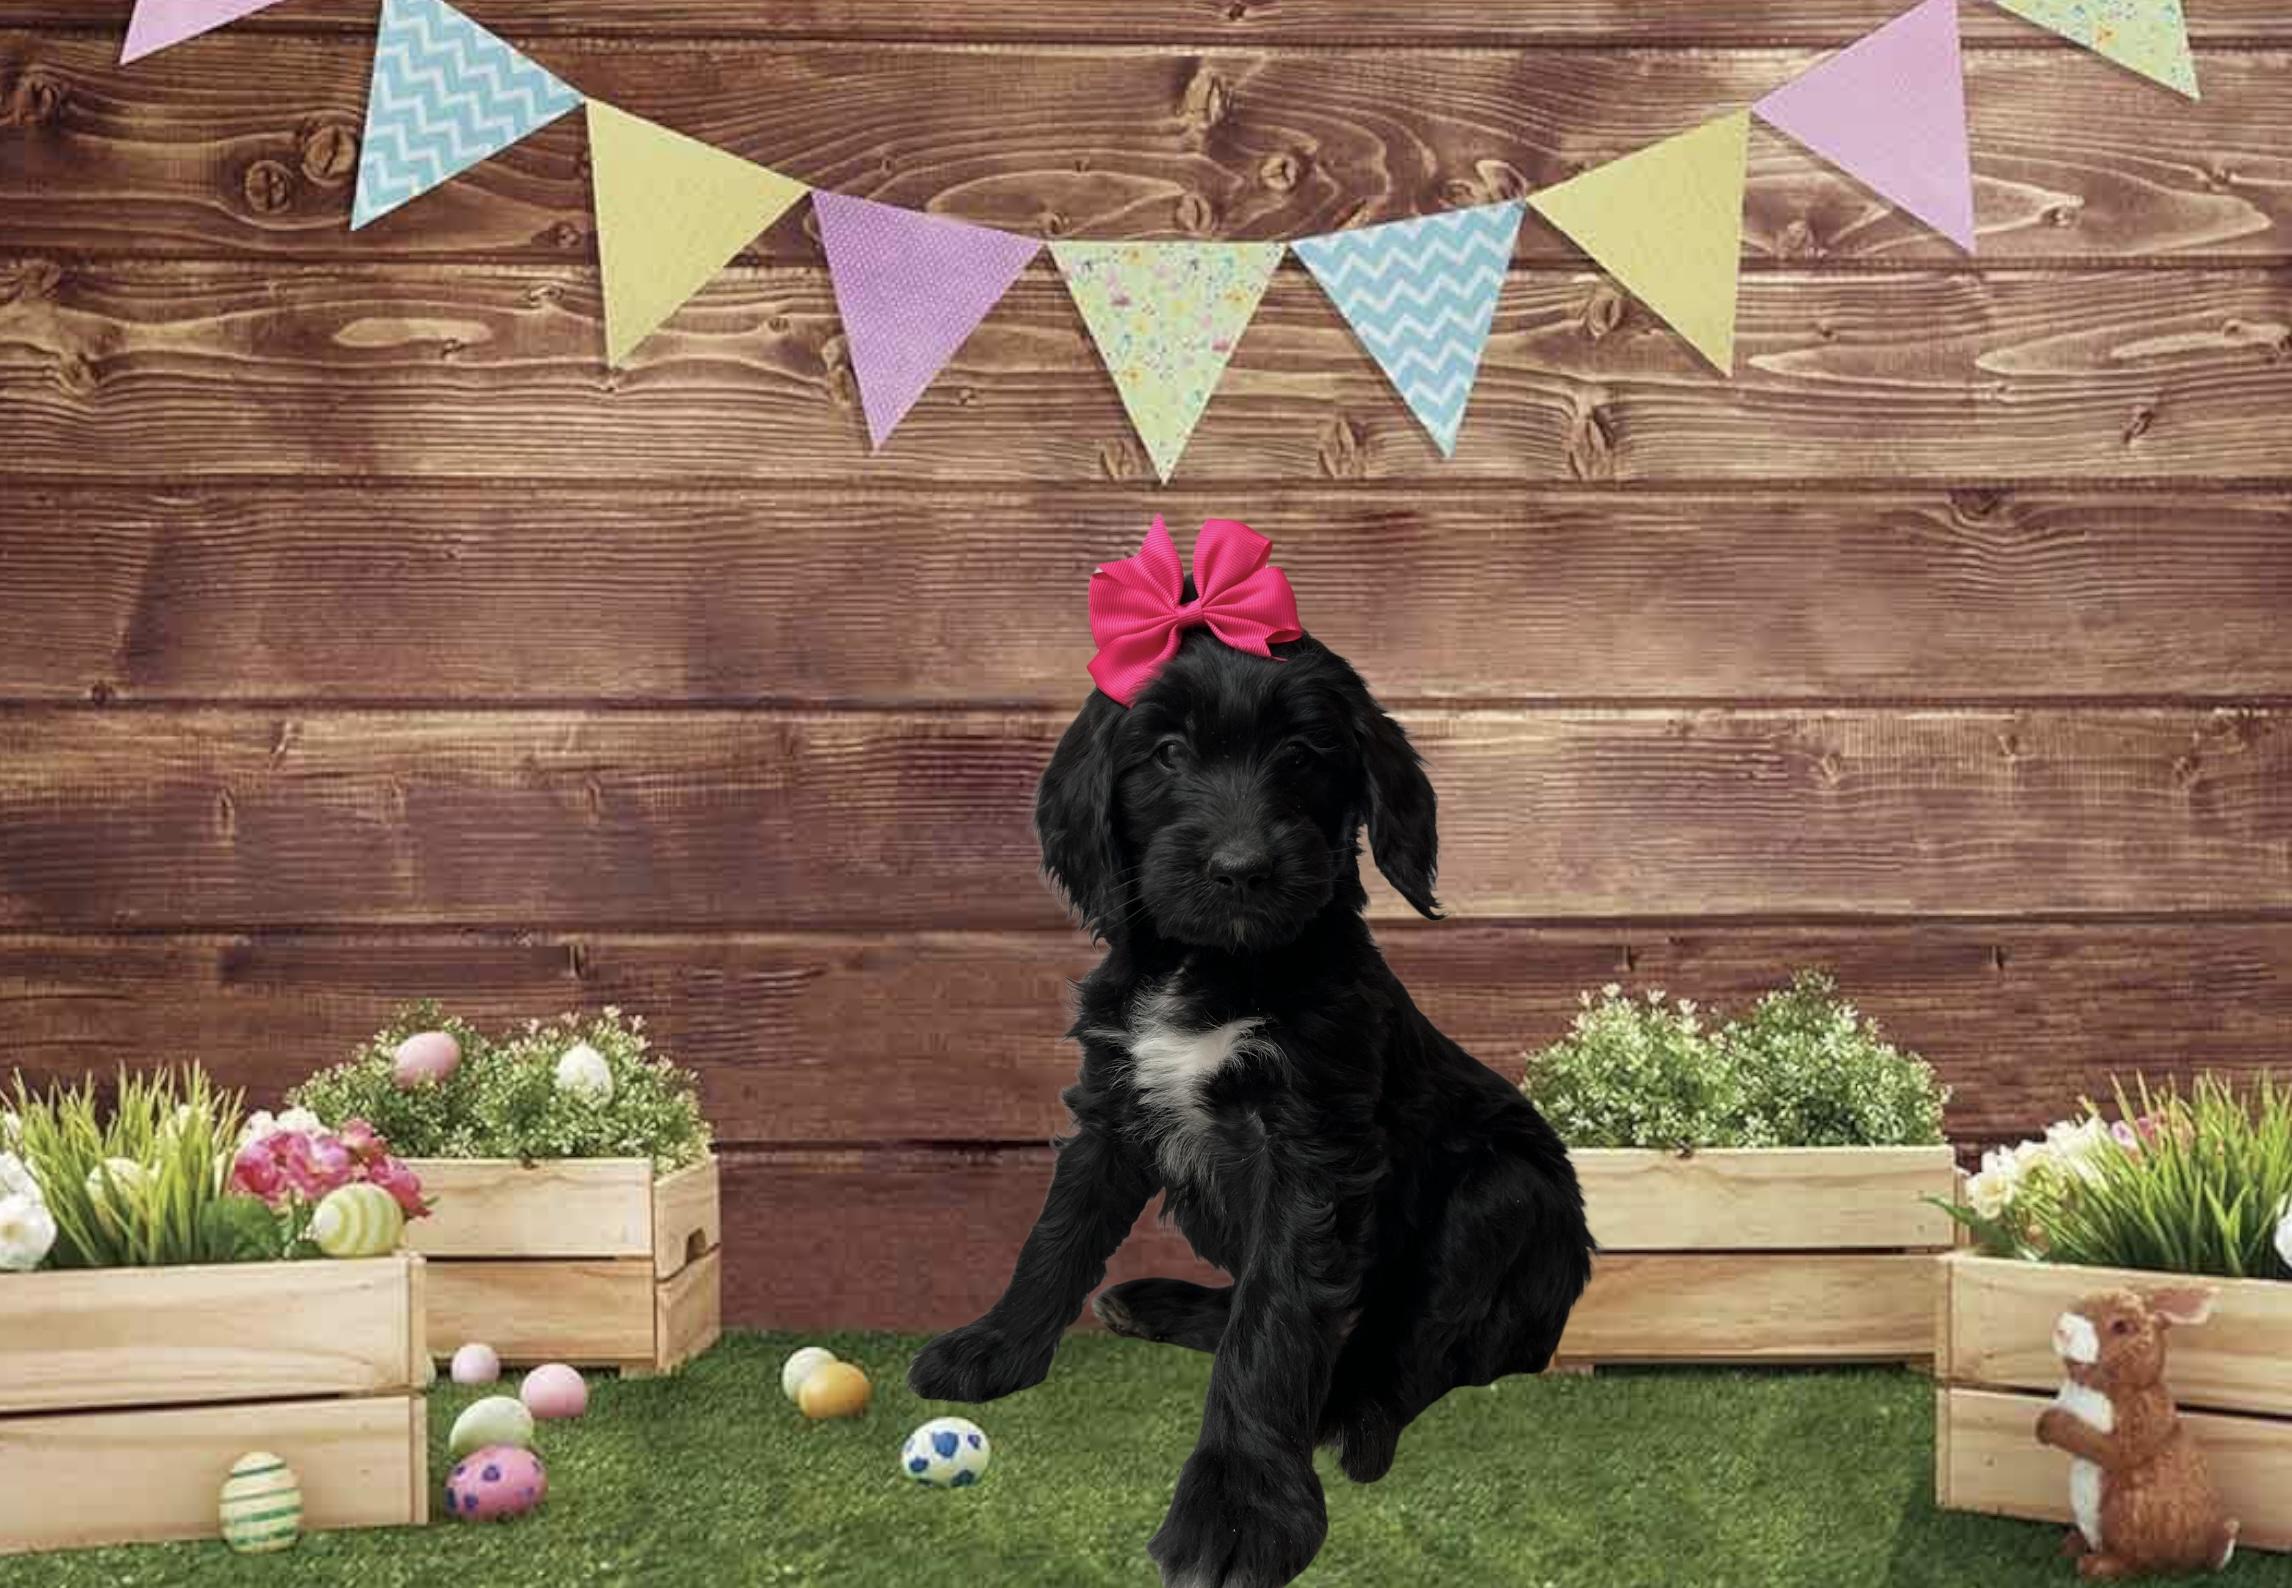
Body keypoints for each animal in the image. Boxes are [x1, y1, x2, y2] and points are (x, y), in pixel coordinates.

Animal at [908, 519, 1594, 1588]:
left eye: (1304, 754)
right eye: (1167, 753)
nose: (1240, 869)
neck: (1214, 969)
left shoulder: (1309, 1148)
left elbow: (1276, 1324)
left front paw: (1238, 1506)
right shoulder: (1114, 1106)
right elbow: (1055, 1238)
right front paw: (995, 1346)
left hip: (1506, 1192)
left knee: (1417, 1352)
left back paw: (1354, 1414)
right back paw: (1162, 1305)